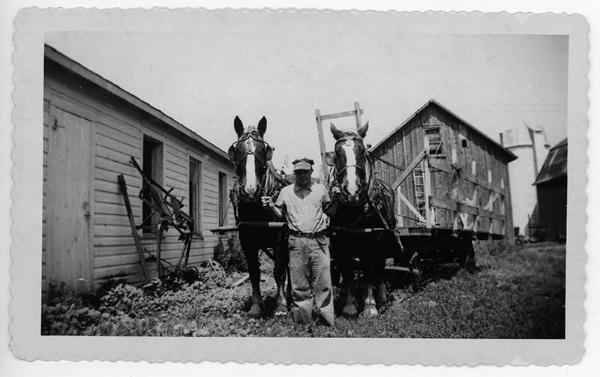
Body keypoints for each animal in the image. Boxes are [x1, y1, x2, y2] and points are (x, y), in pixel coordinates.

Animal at [227, 116, 290, 316]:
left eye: (263, 150)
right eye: (237, 150)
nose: (250, 191)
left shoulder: (281, 239)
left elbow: (278, 271)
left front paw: (280, 305)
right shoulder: (247, 241)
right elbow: (254, 272)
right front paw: (256, 305)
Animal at [326, 122, 400, 316]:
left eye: (362, 152)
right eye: (337, 153)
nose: (352, 190)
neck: (354, 208)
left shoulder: (371, 241)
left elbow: (368, 270)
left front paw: (369, 305)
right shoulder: (342, 242)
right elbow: (348, 270)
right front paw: (350, 305)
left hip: (384, 240)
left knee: (379, 266)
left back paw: (381, 296)